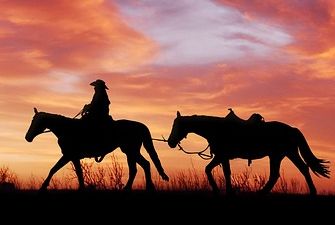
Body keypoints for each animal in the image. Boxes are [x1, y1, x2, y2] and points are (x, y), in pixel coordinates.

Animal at [168, 110, 330, 195]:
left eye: (177, 125)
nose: (170, 142)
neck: (217, 129)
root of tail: (292, 129)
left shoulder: (222, 156)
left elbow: (217, 171)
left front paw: (221, 191)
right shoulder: (222, 157)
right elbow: (216, 171)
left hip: (281, 154)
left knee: (287, 172)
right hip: (282, 155)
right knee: (290, 172)